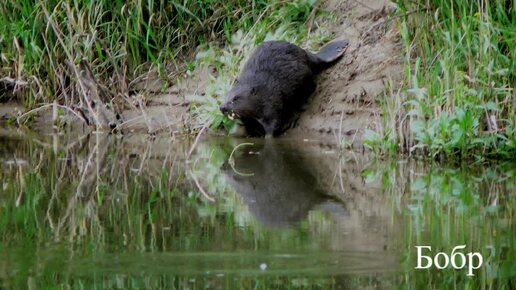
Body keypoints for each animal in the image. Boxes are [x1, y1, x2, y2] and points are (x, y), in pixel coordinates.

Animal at [220, 39, 348, 137]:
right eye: (225, 97)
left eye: (235, 98)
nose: (222, 107)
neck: (259, 89)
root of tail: (311, 55)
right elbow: (251, 126)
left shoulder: (271, 99)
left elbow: (273, 123)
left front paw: (268, 136)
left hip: (303, 78)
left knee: (310, 88)